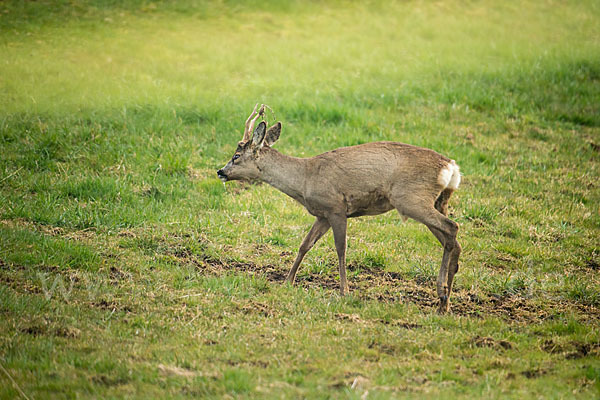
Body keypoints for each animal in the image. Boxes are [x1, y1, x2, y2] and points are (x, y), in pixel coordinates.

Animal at [218, 104, 462, 314]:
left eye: (236, 156)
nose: (220, 171)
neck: (305, 178)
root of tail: (451, 167)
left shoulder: (336, 207)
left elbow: (340, 248)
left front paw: (344, 291)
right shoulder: (322, 215)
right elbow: (304, 245)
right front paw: (288, 281)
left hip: (410, 198)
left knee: (452, 227)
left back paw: (442, 292)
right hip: (436, 201)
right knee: (453, 241)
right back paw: (445, 303)